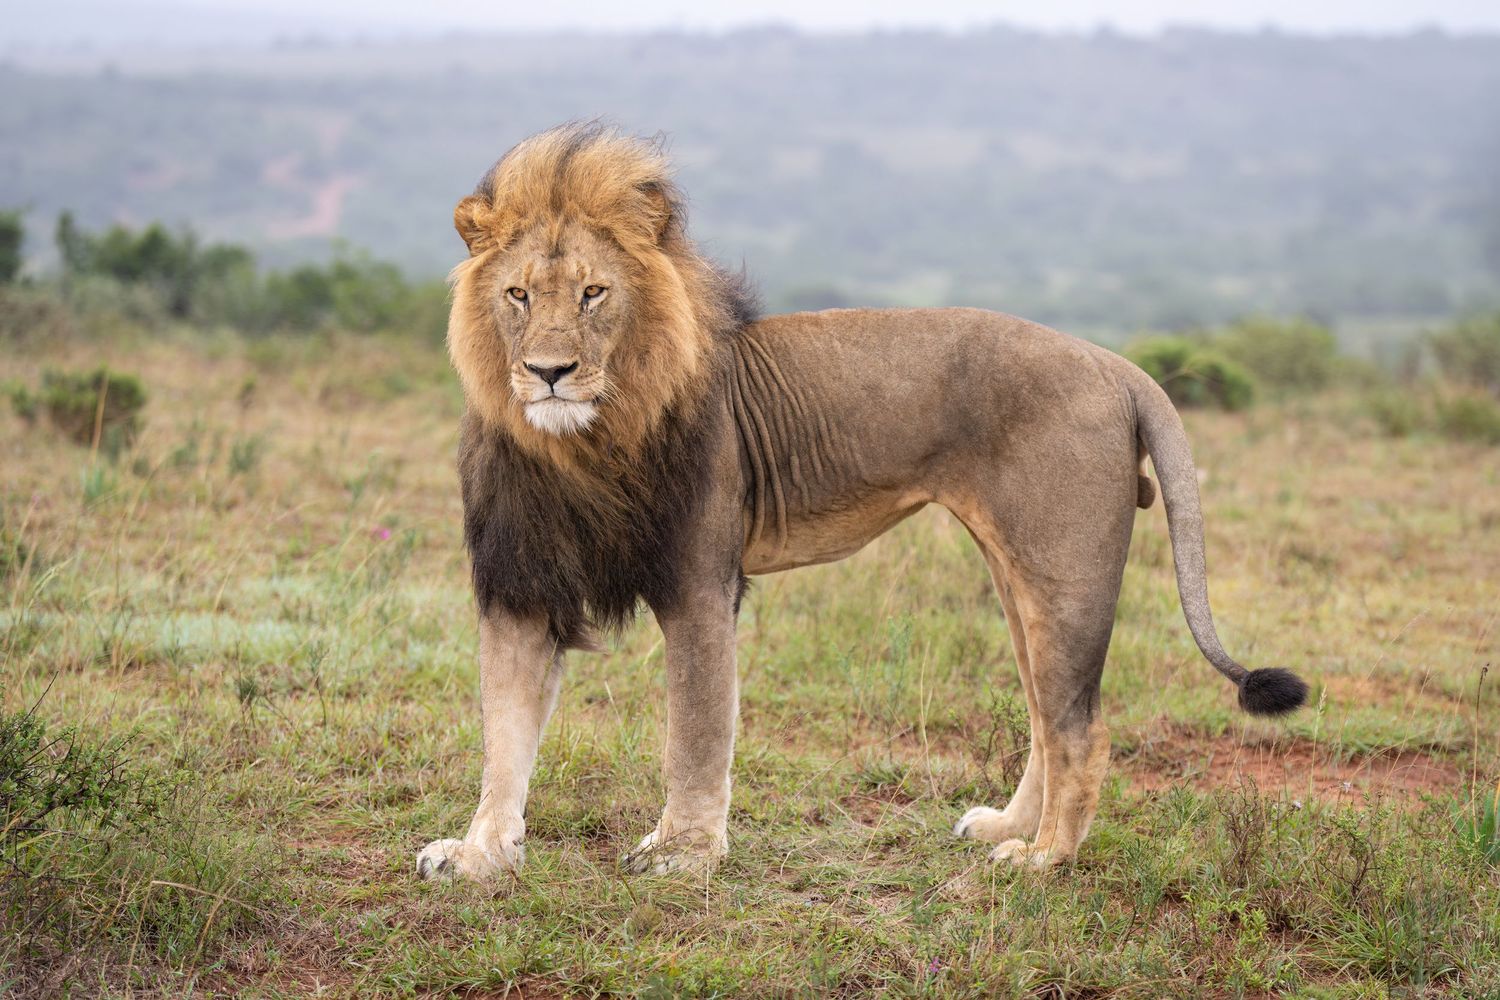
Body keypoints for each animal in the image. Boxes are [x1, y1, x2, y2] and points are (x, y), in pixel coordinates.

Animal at [417, 124, 1308, 880]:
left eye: (595, 293)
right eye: (518, 295)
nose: (549, 372)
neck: (580, 445)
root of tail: (1114, 364)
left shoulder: (698, 581)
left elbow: (695, 733)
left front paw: (683, 853)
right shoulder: (520, 586)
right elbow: (504, 739)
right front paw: (476, 852)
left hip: (1064, 573)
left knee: (1080, 728)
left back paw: (1043, 859)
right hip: (1019, 573)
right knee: (1046, 717)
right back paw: (1008, 828)